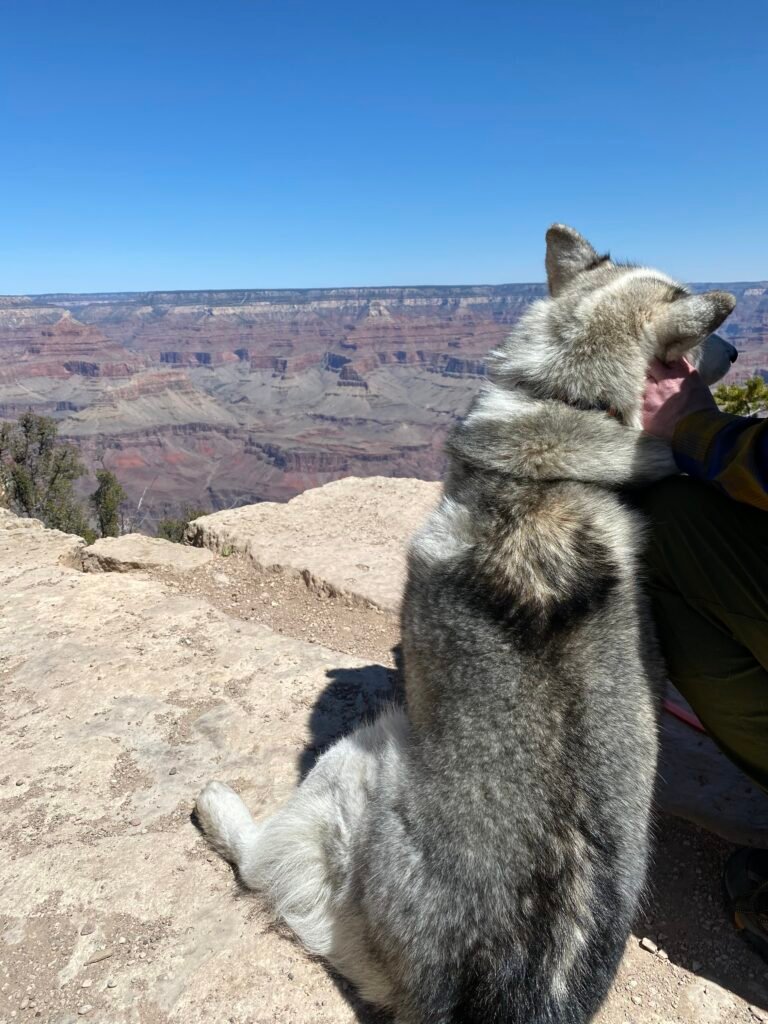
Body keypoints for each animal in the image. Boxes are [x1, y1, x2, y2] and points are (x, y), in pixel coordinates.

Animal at [195, 226, 737, 1024]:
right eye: (694, 324)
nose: (735, 345)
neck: (559, 419)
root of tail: (500, 991)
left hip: (352, 766)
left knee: (265, 866)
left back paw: (216, 807)